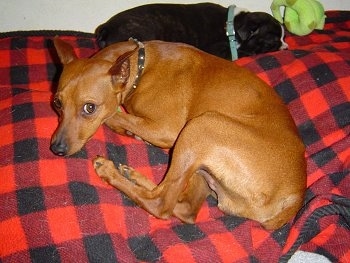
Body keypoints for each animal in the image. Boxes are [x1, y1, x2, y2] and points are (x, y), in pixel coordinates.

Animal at [52, 37, 306, 231]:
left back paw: (110, 171)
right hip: (200, 165)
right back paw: (133, 175)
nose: (56, 149)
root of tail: (295, 197)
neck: (142, 68)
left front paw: (121, 126)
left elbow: (114, 115)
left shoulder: (168, 129)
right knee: (184, 207)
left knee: (161, 203)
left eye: (89, 108)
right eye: (57, 103)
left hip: (201, 126)